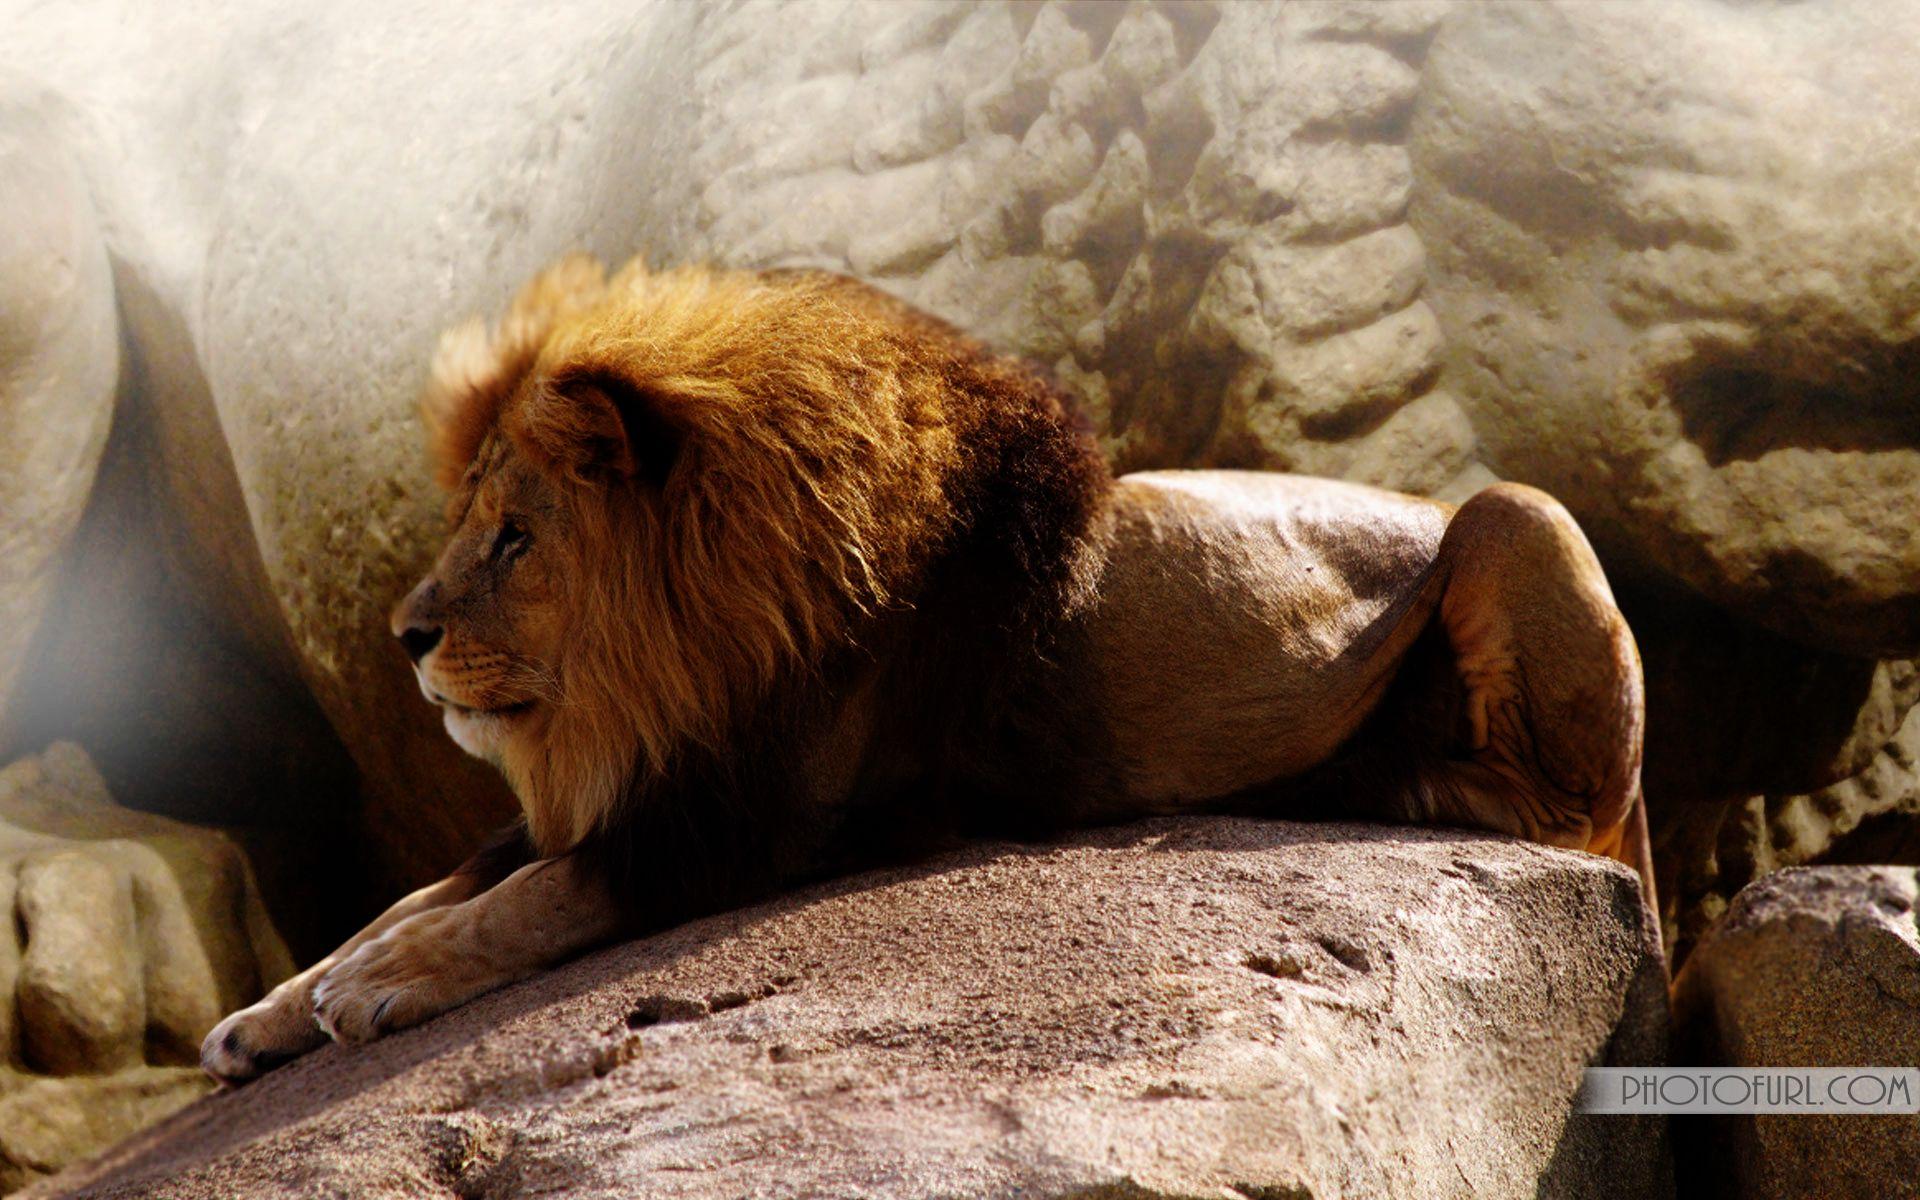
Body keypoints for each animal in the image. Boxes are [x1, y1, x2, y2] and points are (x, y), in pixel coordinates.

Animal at [202, 256, 1650, 1082]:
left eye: (514, 537)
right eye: (469, 524)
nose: (405, 636)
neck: (663, 674)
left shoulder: (767, 822)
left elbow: (532, 899)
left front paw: (376, 988)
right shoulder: (657, 782)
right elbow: (424, 890)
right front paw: (279, 1006)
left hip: (1518, 516)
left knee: (1562, 809)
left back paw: (1386, 776)